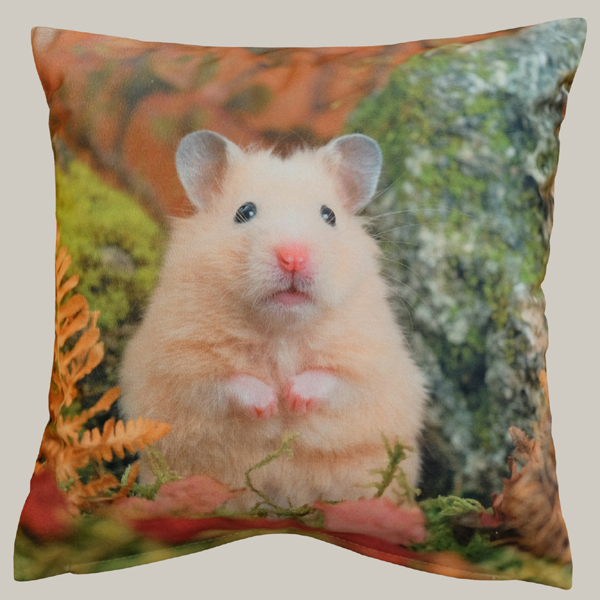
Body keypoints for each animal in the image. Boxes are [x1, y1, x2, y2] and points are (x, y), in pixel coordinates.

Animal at [119, 130, 427, 510]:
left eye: (329, 215)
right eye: (245, 212)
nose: (293, 257)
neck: (282, 328)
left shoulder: (371, 361)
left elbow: (334, 379)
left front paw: (292, 399)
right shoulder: (180, 361)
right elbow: (226, 382)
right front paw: (270, 405)